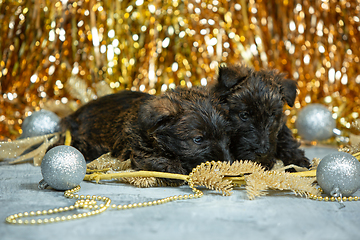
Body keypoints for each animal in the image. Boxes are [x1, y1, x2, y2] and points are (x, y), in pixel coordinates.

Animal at [60, 87, 232, 173]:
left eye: (224, 135)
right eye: (198, 139)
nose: (226, 162)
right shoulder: (139, 150)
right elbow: (160, 159)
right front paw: (175, 167)